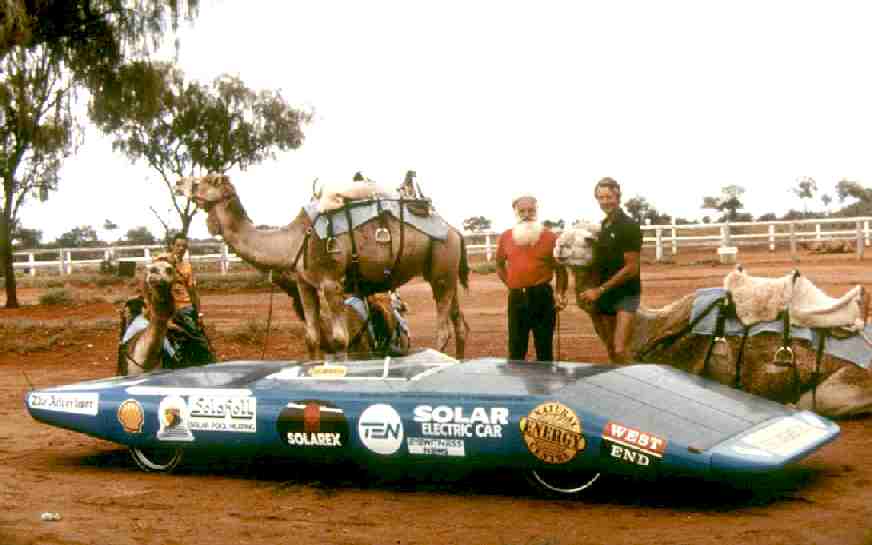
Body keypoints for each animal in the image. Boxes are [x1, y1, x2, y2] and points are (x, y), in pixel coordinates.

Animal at [176, 174, 470, 360]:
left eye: (205, 180)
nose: (179, 183)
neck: (295, 240)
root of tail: (455, 231)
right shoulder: (304, 284)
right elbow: (312, 338)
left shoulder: (331, 282)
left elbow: (340, 339)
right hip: (445, 273)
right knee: (459, 324)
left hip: (442, 264)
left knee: (444, 329)